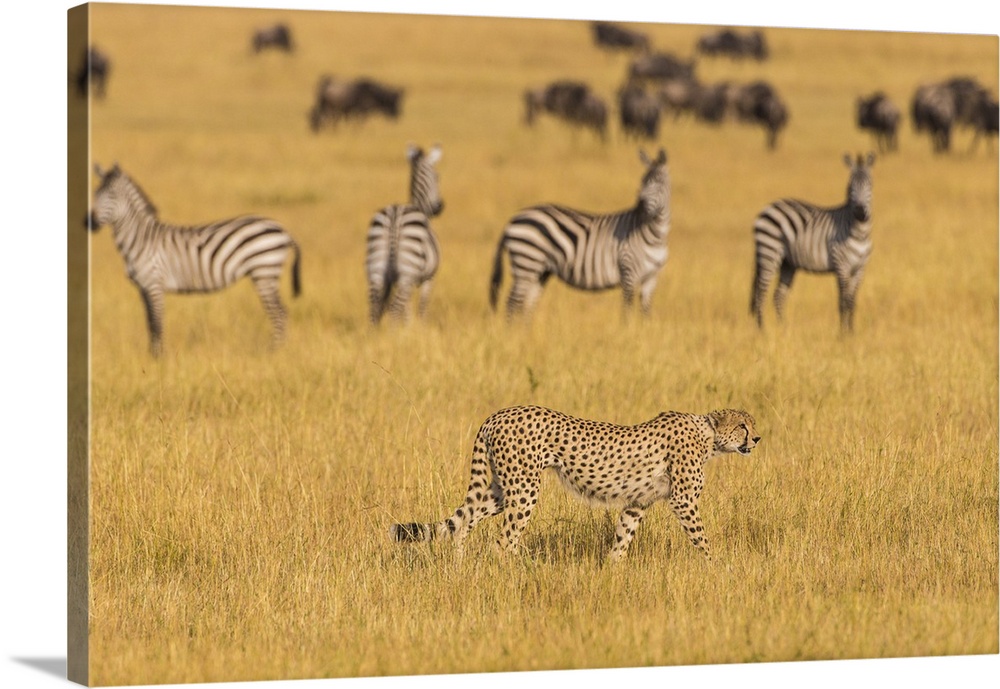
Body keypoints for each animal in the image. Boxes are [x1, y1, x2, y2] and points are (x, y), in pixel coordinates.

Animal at [88, 161, 300, 354]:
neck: (140, 240)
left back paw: (274, 352)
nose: (88, 222)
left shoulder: (154, 284)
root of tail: (283, 230)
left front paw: (158, 359)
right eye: (95, 194)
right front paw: (151, 357)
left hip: (264, 271)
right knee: (281, 313)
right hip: (266, 272)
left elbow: (157, 323)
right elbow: (150, 324)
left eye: (112, 196)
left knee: (280, 313)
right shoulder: (143, 289)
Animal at [366, 143, 444, 326]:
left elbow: (405, 309)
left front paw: (408, 328)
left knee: (374, 310)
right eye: (437, 177)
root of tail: (395, 216)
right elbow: (421, 308)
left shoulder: (395, 280)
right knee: (394, 309)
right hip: (408, 269)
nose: (439, 207)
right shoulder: (427, 278)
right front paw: (418, 328)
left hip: (376, 269)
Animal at [390, 404, 756, 560]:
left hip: (501, 489)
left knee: (465, 521)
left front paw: (611, 571)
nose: (757, 439)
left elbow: (622, 538)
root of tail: (497, 414)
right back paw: (515, 574)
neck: (708, 436)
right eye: (743, 426)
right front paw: (717, 568)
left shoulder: (636, 503)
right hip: (524, 489)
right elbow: (702, 539)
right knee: (504, 541)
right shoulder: (683, 501)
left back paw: (460, 567)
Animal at [490, 148, 672, 320]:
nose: (639, 205)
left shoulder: (651, 277)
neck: (655, 236)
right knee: (512, 303)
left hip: (539, 270)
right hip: (527, 262)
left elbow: (645, 311)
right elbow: (627, 311)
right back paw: (513, 332)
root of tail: (512, 220)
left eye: (659, 182)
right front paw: (628, 330)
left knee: (527, 304)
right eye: (642, 182)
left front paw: (644, 330)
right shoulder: (628, 272)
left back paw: (525, 331)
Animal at [752, 153, 876, 334]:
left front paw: (852, 332)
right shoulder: (841, 265)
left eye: (870, 184)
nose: (860, 213)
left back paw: (784, 328)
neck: (859, 233)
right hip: (769, 251)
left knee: (778, 296)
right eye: (850, 185)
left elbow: (852, 302)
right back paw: (762, 331)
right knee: (761, 293)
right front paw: (842, 334)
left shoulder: (859, 269)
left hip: (787, 263)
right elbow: (843, 302)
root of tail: (769, 206)